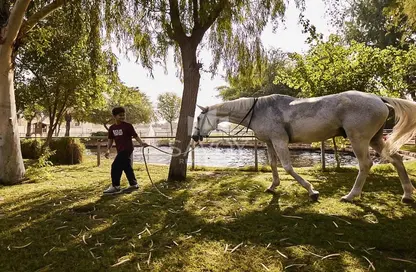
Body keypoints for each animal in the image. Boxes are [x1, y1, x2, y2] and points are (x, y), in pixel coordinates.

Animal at [192, 90, 416, 203]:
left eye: (198, 118)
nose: (194, 136)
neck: (259, 111)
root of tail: (379, 98)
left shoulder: (279, 141)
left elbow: (288, 167)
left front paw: (311, 190)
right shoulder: (270, 143)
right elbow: (274, 165)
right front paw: (273, 186)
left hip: (359, 140)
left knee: (365, 164)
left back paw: (351, 196)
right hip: (375, 140)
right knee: (396, 159)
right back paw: (407, 194)